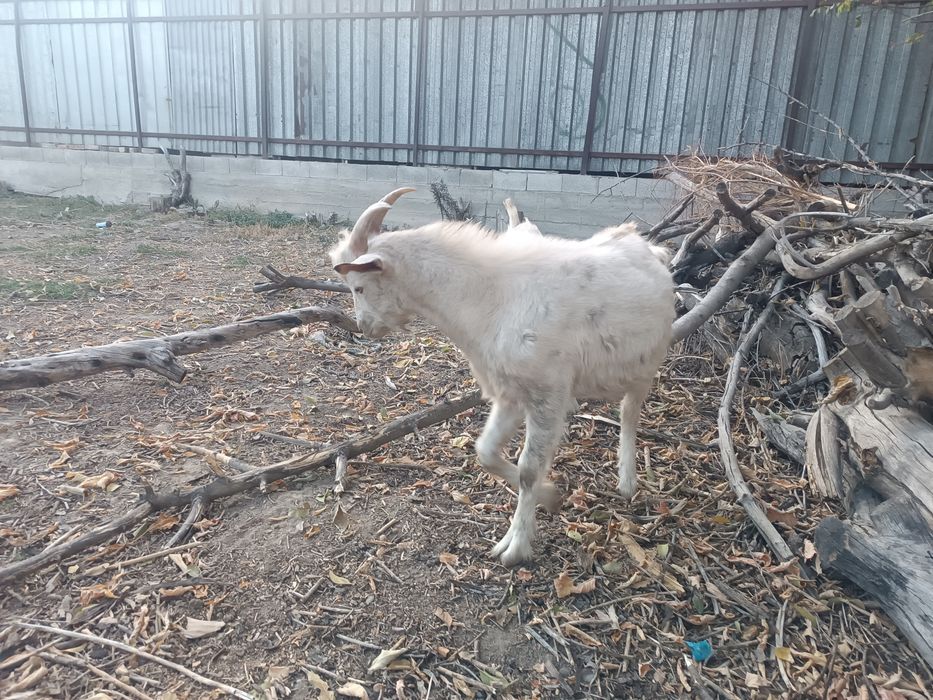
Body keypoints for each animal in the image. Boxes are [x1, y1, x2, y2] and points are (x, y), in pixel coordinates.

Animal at [329, 188, 675, 567]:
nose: (364, 327)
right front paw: (551, 496)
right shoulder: (510, 393)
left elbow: (528, 469)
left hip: (648, 360)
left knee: (629, 413)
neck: (489, 297)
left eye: (358, 286)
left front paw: (515, 546)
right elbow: (486, 452)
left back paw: (627, 480)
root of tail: (650, 248)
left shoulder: (547, 394)